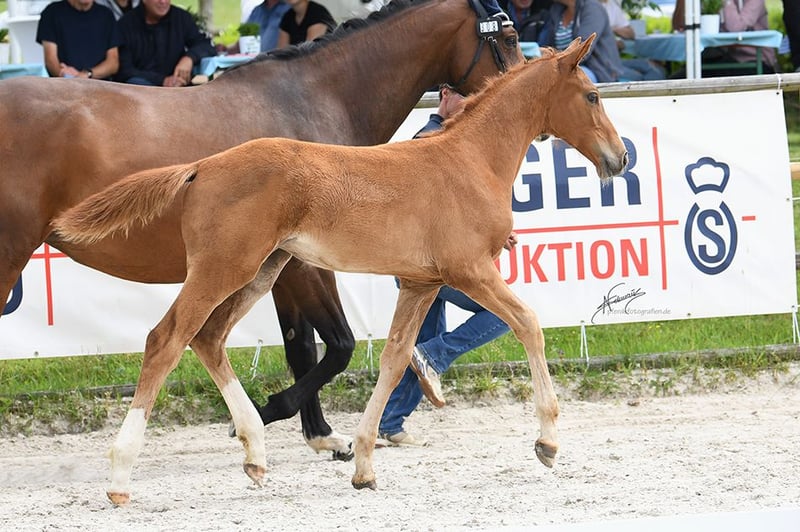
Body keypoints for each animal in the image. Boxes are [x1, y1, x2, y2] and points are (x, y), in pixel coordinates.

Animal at [0, 0, 524, 463]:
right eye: (510, 37)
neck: (313, 103)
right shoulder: (307, 266)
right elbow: (338, 346)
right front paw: (267, 414)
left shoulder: (284, 265)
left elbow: (302, 347)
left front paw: (320, 435)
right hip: (12, 252)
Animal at [54, 35, 628, 500]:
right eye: (592, 96)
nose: (620, 158)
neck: (469, 161)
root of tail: (203, 166)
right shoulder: (470, 271)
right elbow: (529, 324)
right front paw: (547, 443)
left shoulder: (421, 283)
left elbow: (396, 359)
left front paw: (364, 465)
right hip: (224, 268)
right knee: (166, 339)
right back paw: (121, 477)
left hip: (263, 270)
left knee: (209, 337)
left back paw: (255, 454)